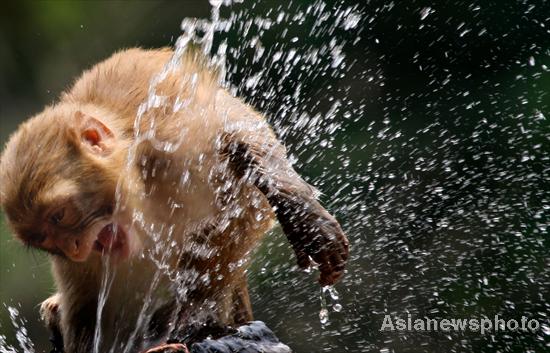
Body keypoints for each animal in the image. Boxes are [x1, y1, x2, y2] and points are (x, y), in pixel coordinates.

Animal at [0, 48, 352, 352]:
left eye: (60, 215)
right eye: (49, 242)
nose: (73, 248)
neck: (139, 194)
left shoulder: (169, 138)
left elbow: (239, 153)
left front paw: (302, 216)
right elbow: (88, 308)